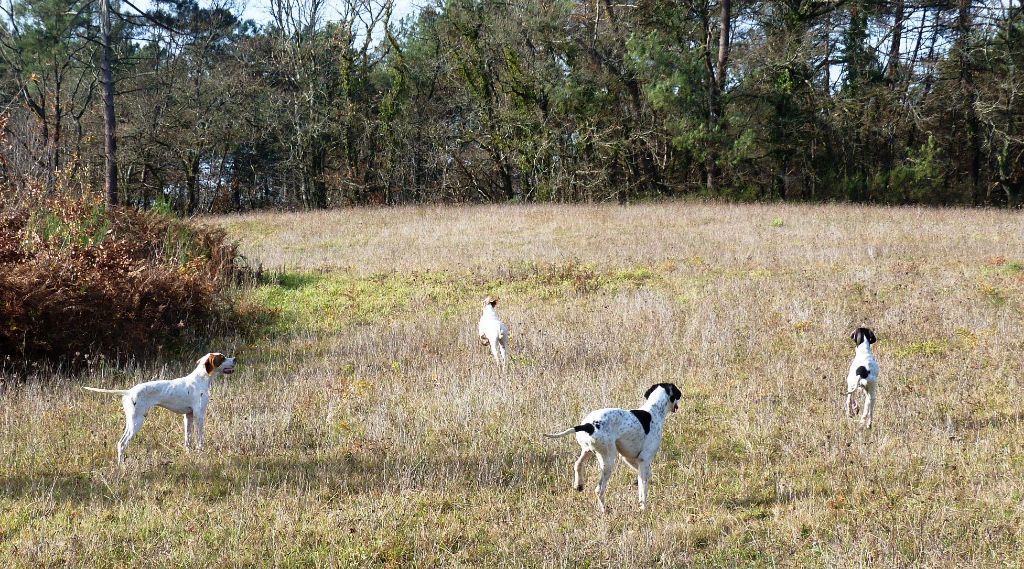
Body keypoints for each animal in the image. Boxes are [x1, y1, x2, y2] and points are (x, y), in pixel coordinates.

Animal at [81, 352, 237, 466]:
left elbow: (188, 439)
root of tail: (129, 392)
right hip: (136, 422)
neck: (200, 379)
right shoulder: (199, 415)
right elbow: (200, 439)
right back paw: (122, 465)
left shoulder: (188, 416)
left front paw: (189, 454)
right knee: (122, 443)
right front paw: (201, 453)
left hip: (131, 422)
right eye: (222, 357)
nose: (235, 359)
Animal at [544, 382, 679, 511]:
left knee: (577, 464)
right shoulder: (644, 459)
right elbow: (643, 489)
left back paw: (579, 484)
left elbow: (644, 477)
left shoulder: (630, 459)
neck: (654, 410)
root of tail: (588, 425)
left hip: (587, 450)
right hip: (608, 460)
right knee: (599, 489)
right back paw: (604, 510)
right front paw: (644, 508)